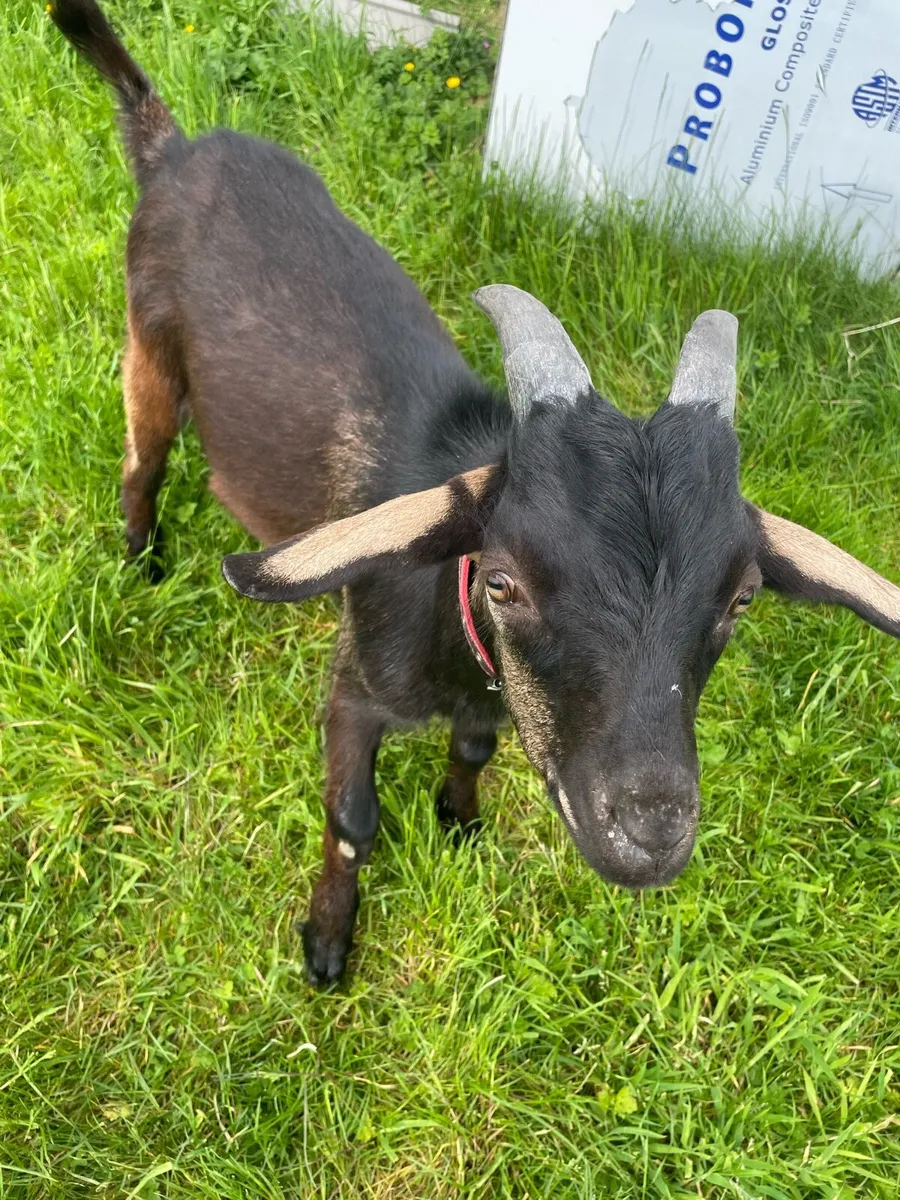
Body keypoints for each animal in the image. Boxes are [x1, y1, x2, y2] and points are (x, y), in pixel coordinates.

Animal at [51, 0, 900, 986]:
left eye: (743, 599)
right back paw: (140, 560)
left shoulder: (492, 704)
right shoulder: (353, 689)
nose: (649, 838)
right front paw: (328, 941)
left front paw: (458, 817)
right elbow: (353, 821)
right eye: (502, 582)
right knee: (140, 461)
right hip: (148, 354)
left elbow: (475, 747)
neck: (454, 637)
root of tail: (174, 148)